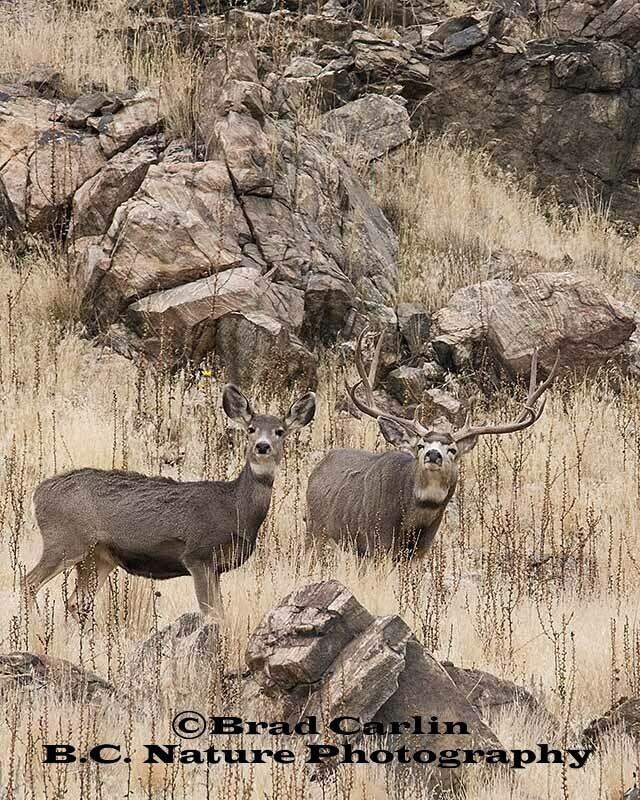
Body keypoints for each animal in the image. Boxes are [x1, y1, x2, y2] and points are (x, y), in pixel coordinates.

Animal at [24, 384, 316, 625]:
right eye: (251, 429)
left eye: (280, 431)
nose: (263, 446)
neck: (235, 508)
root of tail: (37, 494)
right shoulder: (198, 554)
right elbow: (213, 614)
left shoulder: (215, 567)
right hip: (66, 540)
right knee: (30, 582)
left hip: (98, 557)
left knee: (76, 602)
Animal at [306, 329, 558, 559]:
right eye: (420, 445)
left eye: (452, 450)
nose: (434, 455)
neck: (412, 525)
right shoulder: (377, 542)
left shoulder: (419, 553)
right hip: (316, 531)